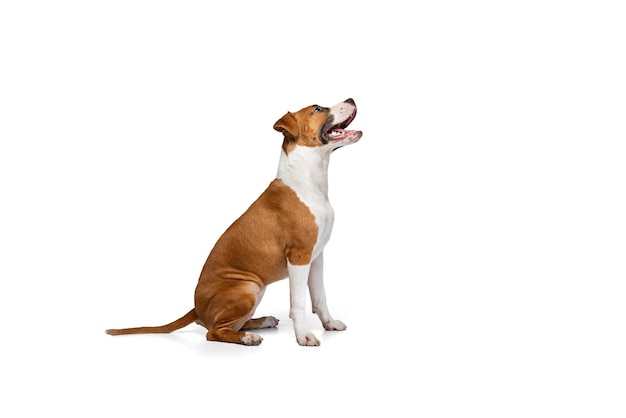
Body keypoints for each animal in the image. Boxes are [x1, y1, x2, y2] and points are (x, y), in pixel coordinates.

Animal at [106, 98, 360, 346]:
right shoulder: (299, 256)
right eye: (317, 109)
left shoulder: (315, 257)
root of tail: (196, 309)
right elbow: (298, 302)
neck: (308, 180)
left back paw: (262, 322)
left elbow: (320, 297)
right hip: (248, 287)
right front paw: (304, 336)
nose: (351, 99)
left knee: (231, 324)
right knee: (214, 332)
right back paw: (248, 337)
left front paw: (330, 323)